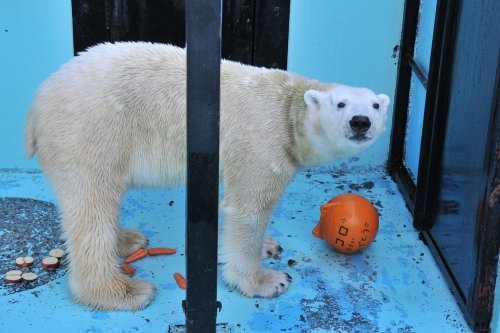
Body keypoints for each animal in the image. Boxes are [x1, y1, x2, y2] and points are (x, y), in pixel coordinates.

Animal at [24, 41, 390, 308]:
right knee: (93, 206)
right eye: (341, 104)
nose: (360, 122)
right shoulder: (264, 141)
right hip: (91, 134)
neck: (289, 108)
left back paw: (129, 241)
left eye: (375, 105)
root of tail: (37, 102)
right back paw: (124, 291)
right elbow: (249, 210)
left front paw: (269, 246)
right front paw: (267, 280)